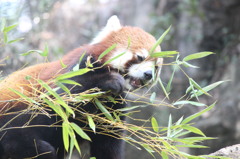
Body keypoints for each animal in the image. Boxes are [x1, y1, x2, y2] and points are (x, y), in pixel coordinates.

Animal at [0, 15, 163, 159]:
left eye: (156, 67)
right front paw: (110, 80)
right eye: (140, 57)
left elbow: (108, 143)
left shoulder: (112, 109)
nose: (148, 74)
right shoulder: (76, 67)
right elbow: (60, 98)